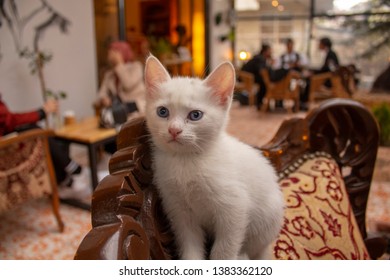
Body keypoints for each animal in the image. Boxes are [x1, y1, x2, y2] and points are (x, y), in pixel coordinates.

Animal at [143, 55, 284, 260]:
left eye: (195, 115)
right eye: (162, 112)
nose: (174, 130)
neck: (186, 161)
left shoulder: (235, 207)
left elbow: (224, 248)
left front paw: (223, 257)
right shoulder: (179, 211)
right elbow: (190, 245)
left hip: (267, 220)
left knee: (254, 249)